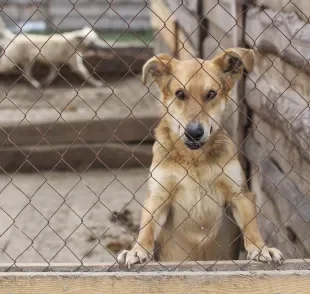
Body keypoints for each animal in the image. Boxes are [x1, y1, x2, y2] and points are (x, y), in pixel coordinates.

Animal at [117, 47, 284, 266]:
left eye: (211, 94)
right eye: (180, 94)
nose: (194, 133)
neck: (194, 159)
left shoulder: (239, 194)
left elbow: (251, 226)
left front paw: (261, 248)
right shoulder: (158, 196)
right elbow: (147, 227)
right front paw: (138, 250)